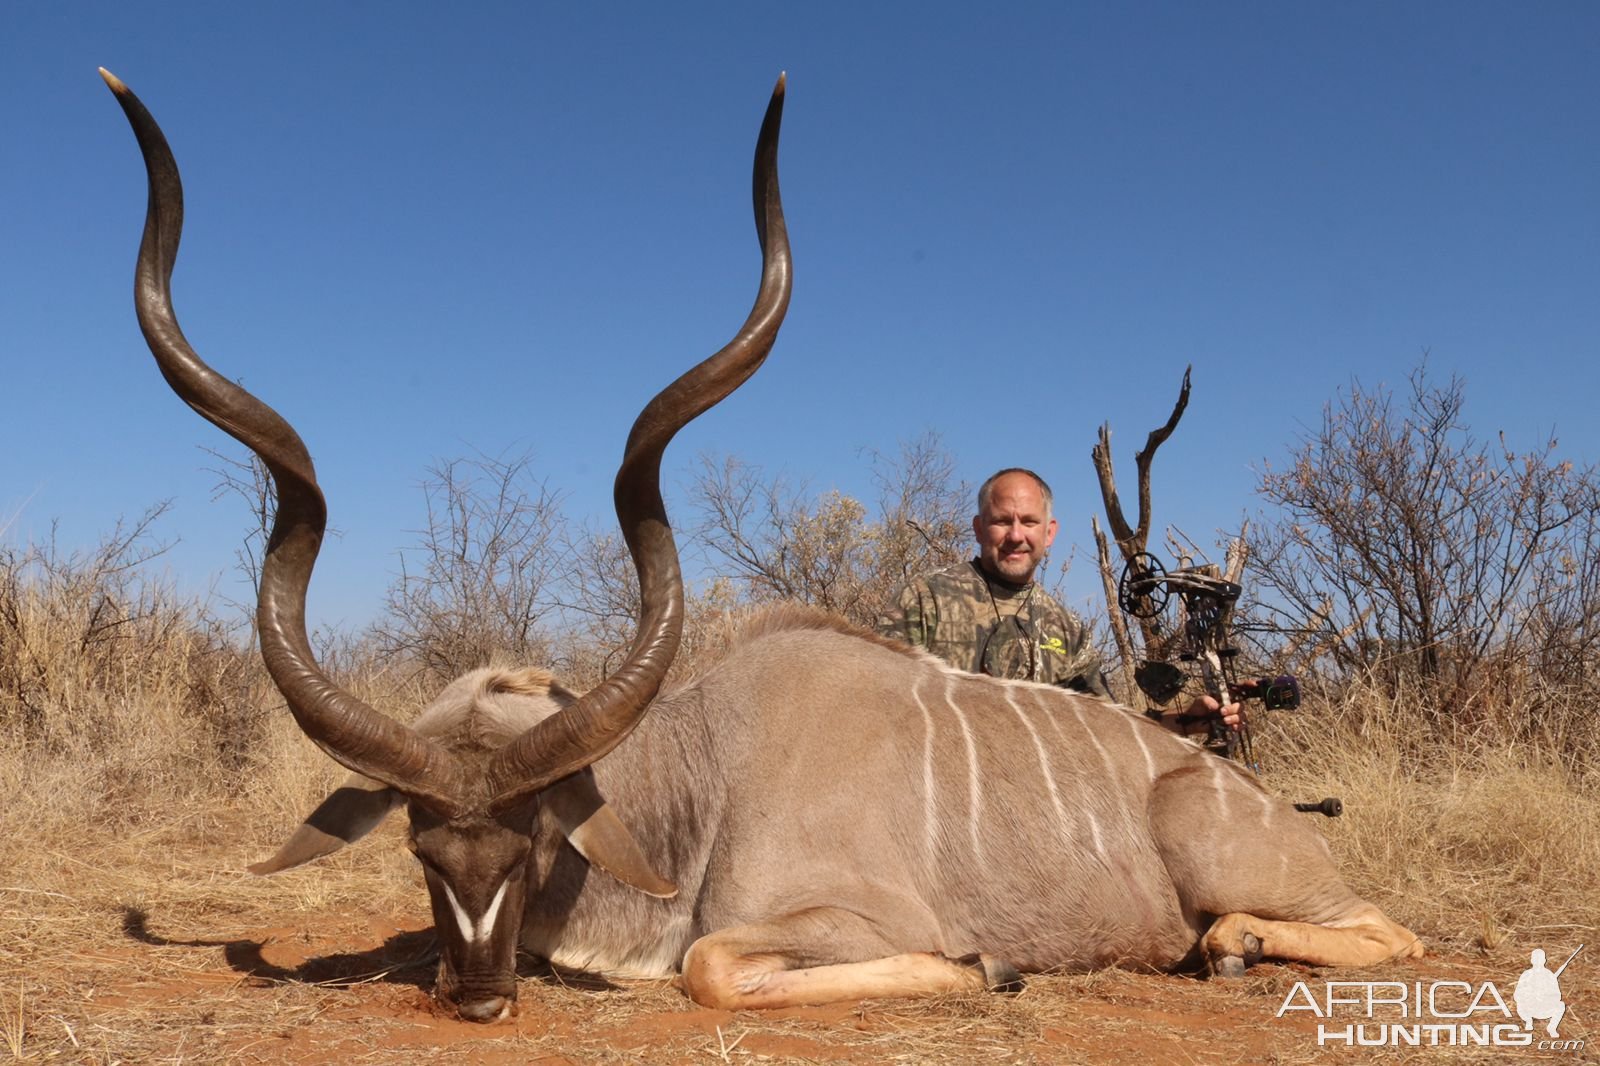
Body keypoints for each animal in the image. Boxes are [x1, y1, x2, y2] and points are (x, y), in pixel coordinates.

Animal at [106, 70, 1420, 1017]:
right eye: (423, 845)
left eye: (530, 836)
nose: (475, 995)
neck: (703, 775)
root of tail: (1229, 783)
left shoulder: (836, 920)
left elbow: (714, 966)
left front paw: (987, 964)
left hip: (1231, 858)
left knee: (1388, 928)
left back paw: (1234, 942)